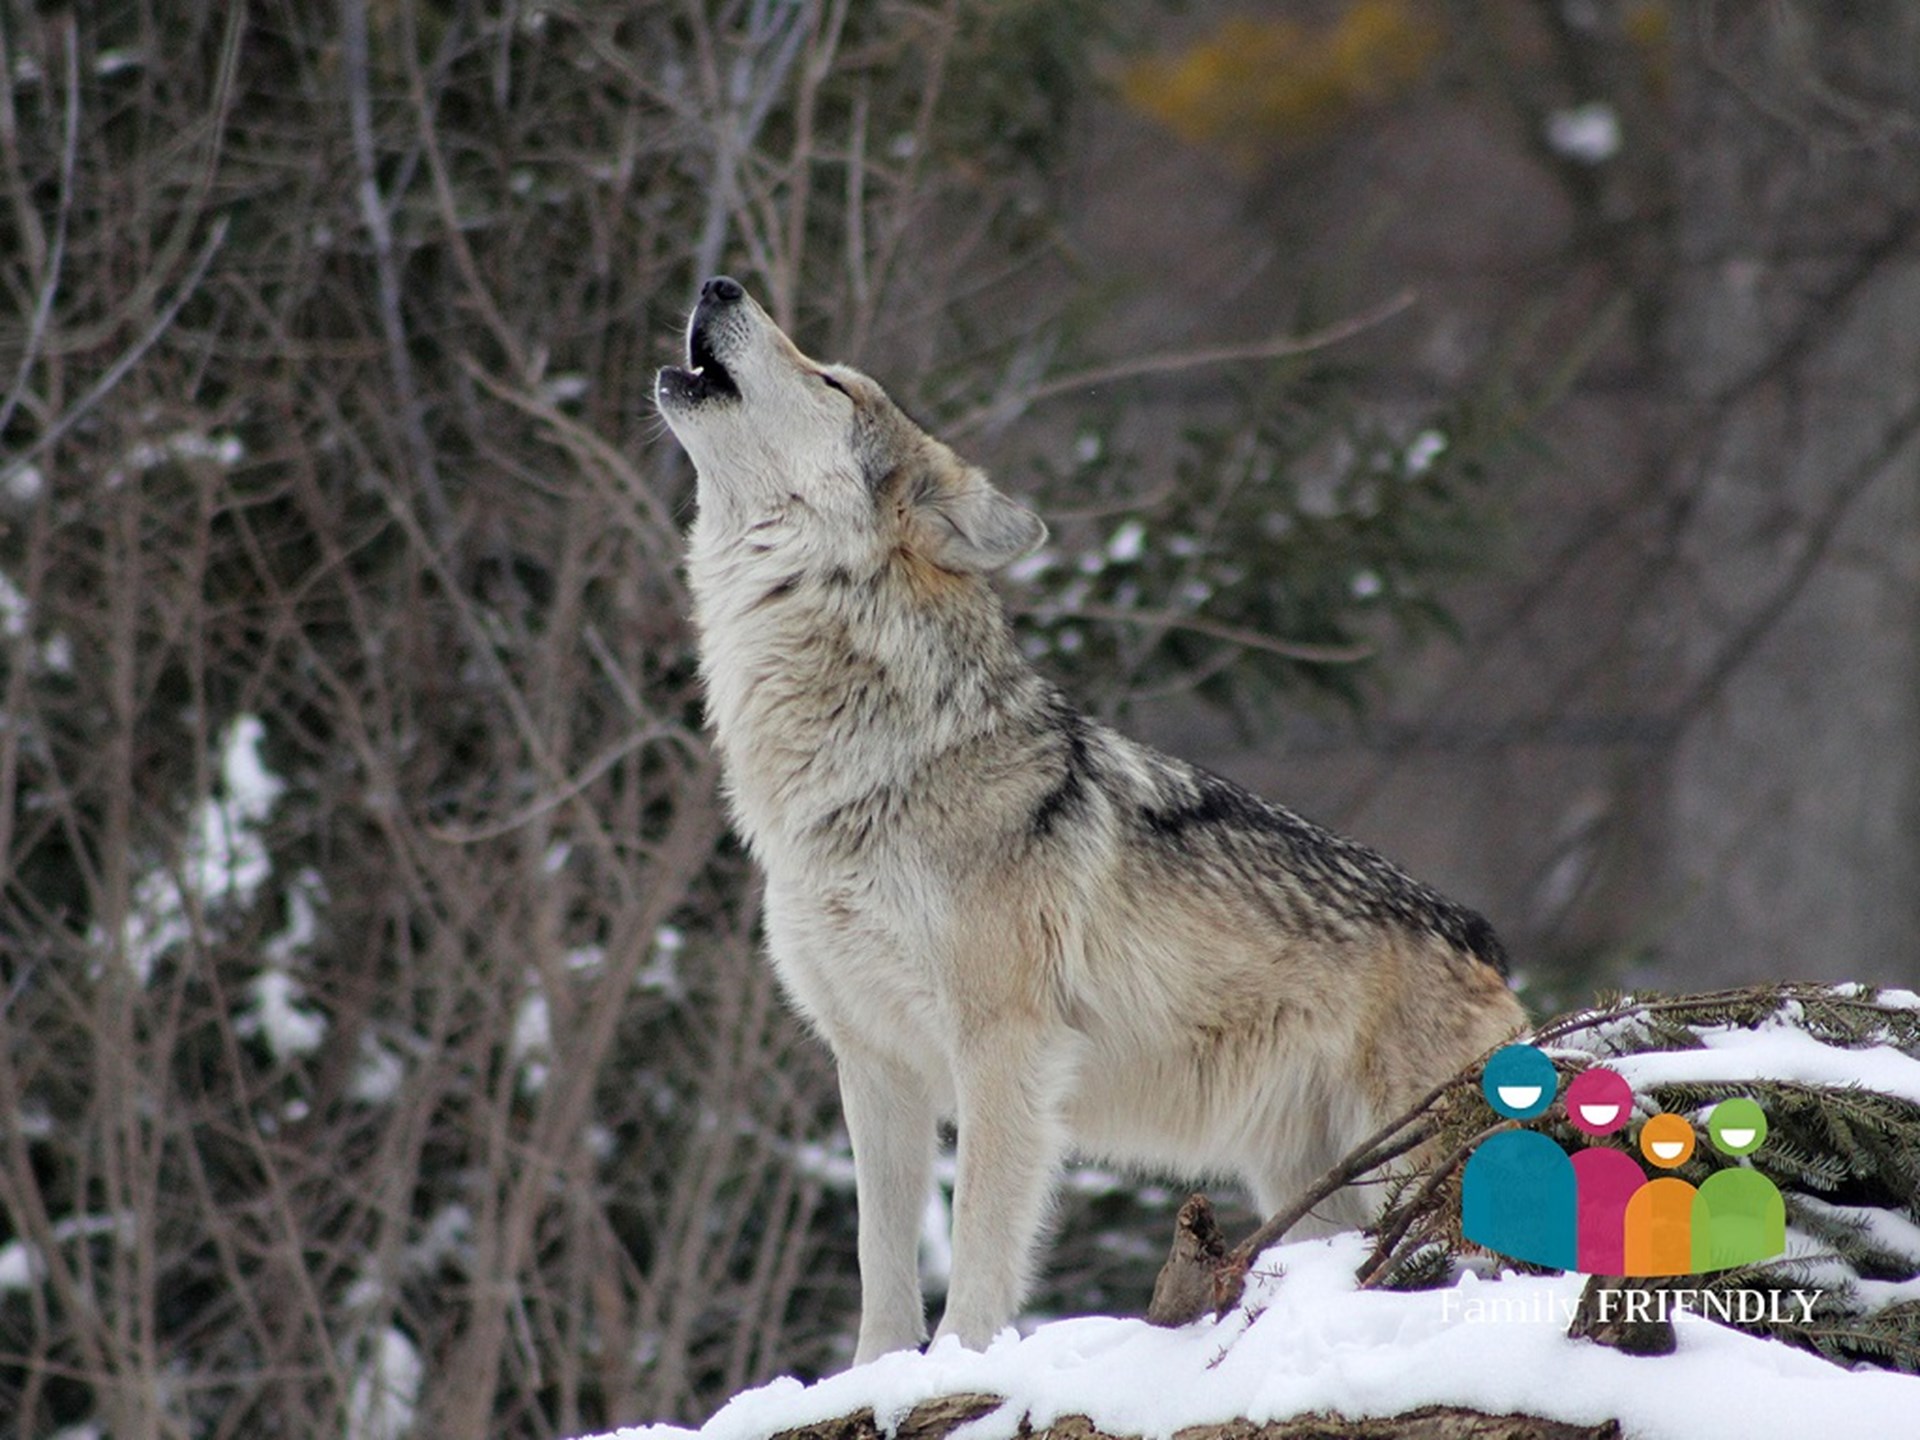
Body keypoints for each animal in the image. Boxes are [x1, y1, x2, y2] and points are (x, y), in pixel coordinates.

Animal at [656, 275, 1527, 1364]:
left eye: (833, 381)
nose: (718, 283)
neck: (870, 767)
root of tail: (1484, 939)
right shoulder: (875, 1062)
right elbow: (880, 1265)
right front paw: (875, 1378)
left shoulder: (1004, 1050)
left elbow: (979, 1242)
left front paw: (960, 1365)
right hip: (1311, 1187)